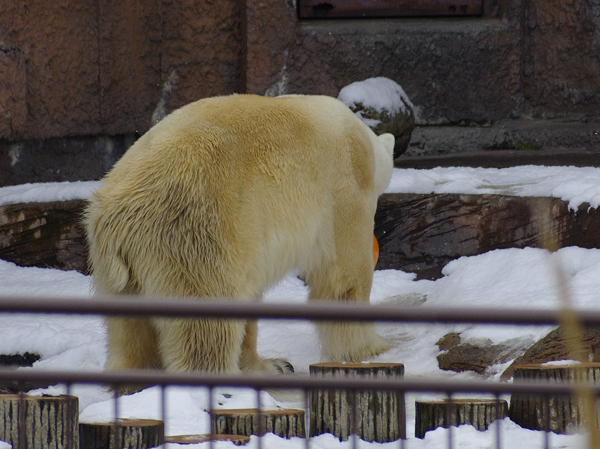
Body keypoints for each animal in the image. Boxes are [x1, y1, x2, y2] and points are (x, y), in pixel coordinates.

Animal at [84, 93, 394, 378]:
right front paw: (371, 346)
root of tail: (118, 212)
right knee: (205, 323)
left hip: (120, 272)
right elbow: (346, 275)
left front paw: (272, 365)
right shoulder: (345, 186)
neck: (362, 139)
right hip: (196, 233)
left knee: (130, 334)